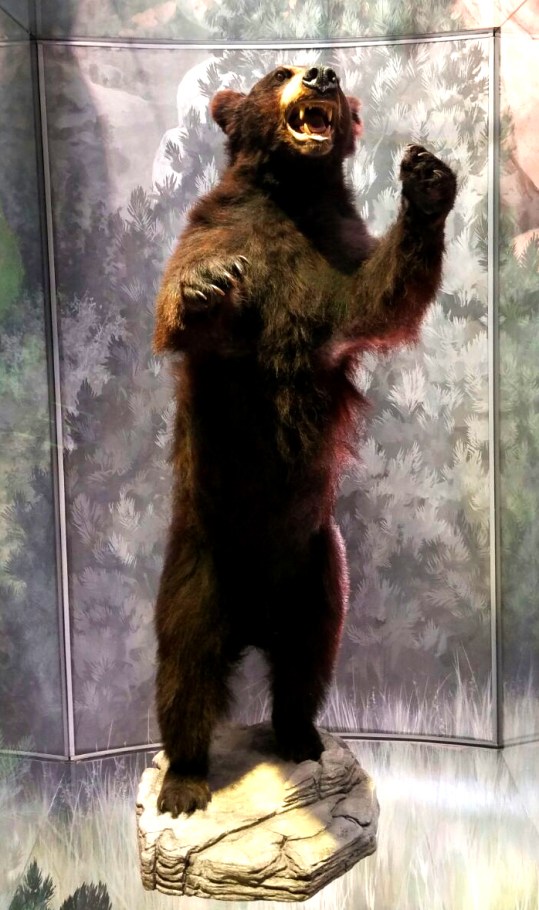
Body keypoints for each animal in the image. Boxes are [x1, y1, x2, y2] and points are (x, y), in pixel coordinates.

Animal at [153, 64, 457, 817]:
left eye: (322, 74)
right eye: (279, 72)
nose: (324, 71)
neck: (290, 194)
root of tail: (253, 620)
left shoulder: (333, 255)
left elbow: (378, 295)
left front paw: (426, 181)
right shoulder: (218, 229)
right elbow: (188, 309)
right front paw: (204, 287)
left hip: (319, 571)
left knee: (307, 661)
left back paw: (300, 737)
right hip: (198, 567)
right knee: (185, 670)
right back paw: (185, 779)